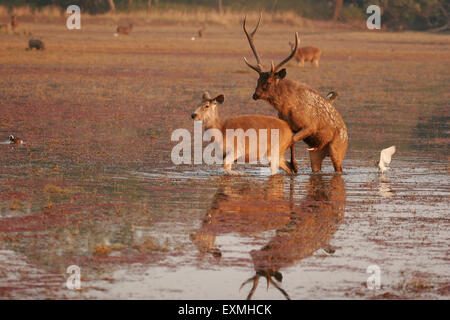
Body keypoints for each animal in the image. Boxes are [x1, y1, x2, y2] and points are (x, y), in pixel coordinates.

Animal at [243, 14, 348, 172]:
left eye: (268, 82)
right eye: (258, 80)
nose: (255, 95)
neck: (287, 108)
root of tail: (347, 135)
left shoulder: (310, 126)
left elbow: (291, 140)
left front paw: (294, 165)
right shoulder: (290, 126)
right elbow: (290, 141)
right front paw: (293, 166)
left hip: (337, 149)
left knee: (340, 168)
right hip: (316, 154)